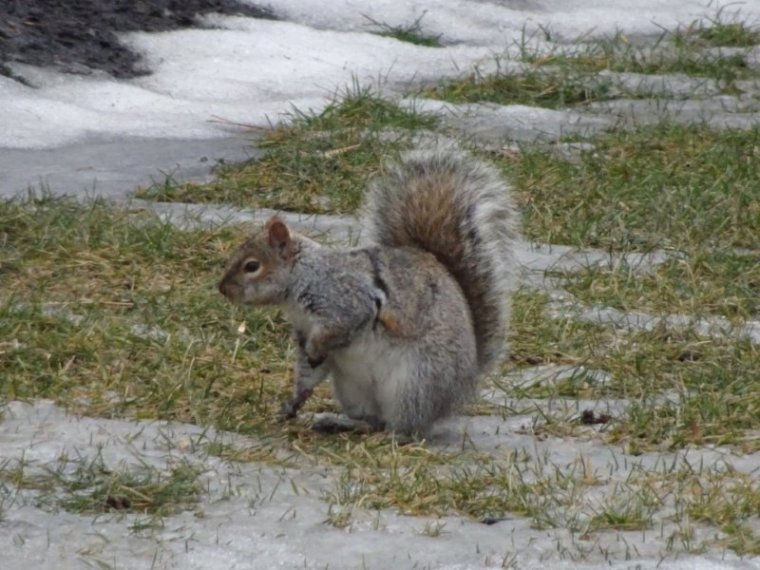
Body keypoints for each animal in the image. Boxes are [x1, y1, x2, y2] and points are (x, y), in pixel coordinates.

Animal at [218, 141, 519, 437]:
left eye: (252, 266)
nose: (222, 289)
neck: (304, 276)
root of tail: (464, 385)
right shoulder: (304, 329)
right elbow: (309, 371)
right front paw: (293, 403)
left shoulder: (343, 299)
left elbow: (340, 327)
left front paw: (316, 352)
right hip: (354, 388)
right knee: (373, 420)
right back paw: (338, 422)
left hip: (415, 383)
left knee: (405, 427)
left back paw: (391, 435)